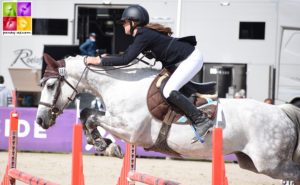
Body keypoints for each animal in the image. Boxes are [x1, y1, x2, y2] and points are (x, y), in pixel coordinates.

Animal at [36, 54, 300, 183]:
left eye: (50, 85)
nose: (40, 121)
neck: (122, 84)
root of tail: (281, 112)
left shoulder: (131, 129)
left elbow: (91, 117)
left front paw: (105, 144)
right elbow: (86, 114)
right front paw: (103, 144)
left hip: (271, 163)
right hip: (251, 162)